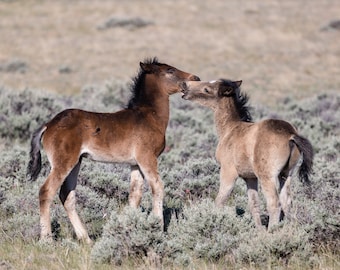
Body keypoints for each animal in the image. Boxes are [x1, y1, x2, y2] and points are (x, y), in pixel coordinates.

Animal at [27, 58, 201, 244]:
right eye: (170, 70)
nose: (195, 78)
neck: (149, 117)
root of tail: (49, 124)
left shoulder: (135, 163)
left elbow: (135, 194)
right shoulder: (147, 158)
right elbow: (158, 187)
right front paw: (158, 229)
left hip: (76, 162)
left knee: (66, 195)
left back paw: (87, 240)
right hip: (63, 162)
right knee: (46, 191)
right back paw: (47, 240)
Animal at [181, 79, 314, 230]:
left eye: (207, 89)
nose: (185, 85)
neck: (230, 129)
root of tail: (290, 135)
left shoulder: (228, 173)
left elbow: (220, 201)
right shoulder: (250, 177)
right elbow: (253, 204)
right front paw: (259, 231)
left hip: (267, 176)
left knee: (274, 203)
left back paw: (272, 231)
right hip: (286, 174)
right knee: (287, 202)